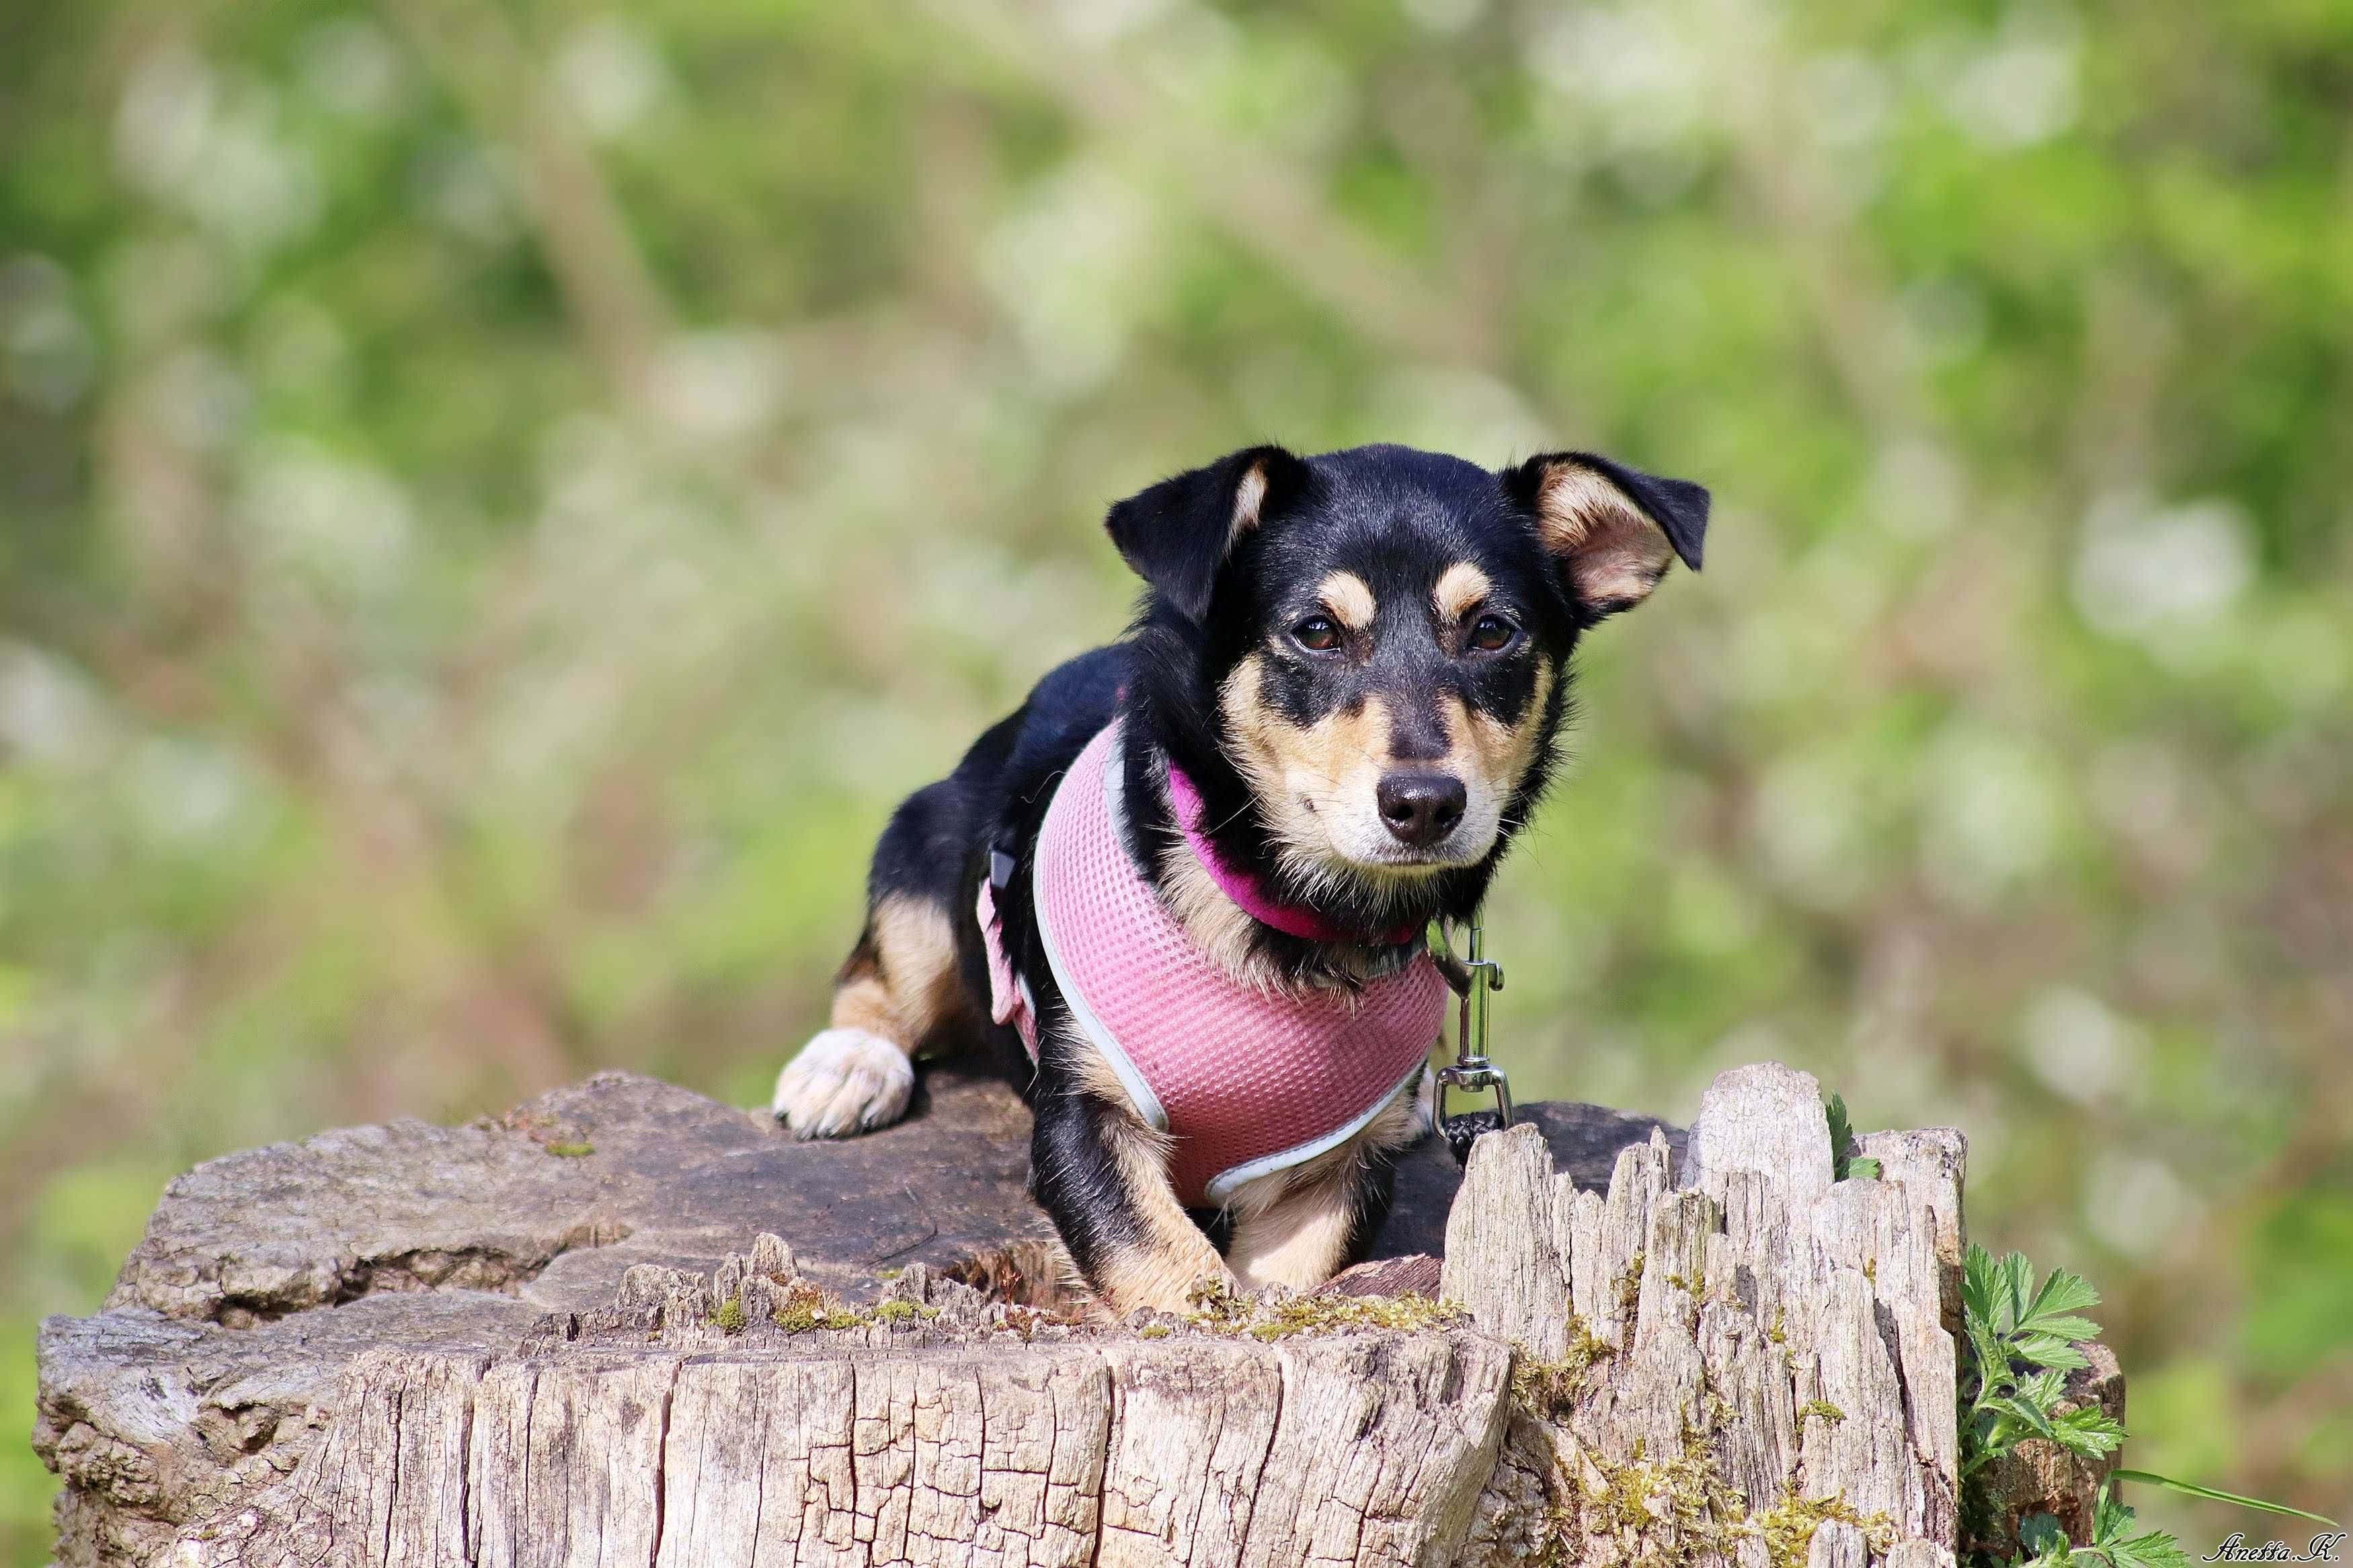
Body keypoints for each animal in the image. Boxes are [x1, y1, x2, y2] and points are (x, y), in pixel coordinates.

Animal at [772, 442, 1713, 1316]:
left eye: (1492, 631)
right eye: (1316, 631)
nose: (1424, 803)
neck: (1289, 914)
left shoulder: (1335, 1174)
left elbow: (1278, 1279)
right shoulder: (1080, 1121)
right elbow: (1168, 1266)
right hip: (920, 853)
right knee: (876, 979)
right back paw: (847, 1067)